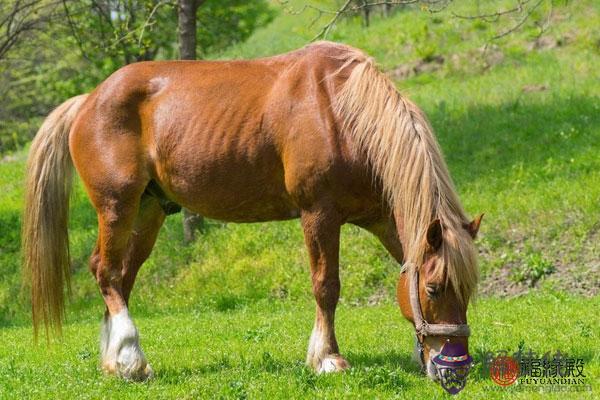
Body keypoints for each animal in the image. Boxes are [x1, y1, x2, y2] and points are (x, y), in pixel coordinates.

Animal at [22, 40, 482, 382]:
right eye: (434, 289)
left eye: (469, 289)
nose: (455, 370)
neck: (341, 112)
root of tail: (88, 100)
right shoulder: (319, 214)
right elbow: (326, 286)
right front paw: (327, 358)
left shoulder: (383, 219)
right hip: (117, 206)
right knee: (106, 272)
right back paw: (132, 358)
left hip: (148, 212)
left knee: (119, 276)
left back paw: (116, 363)